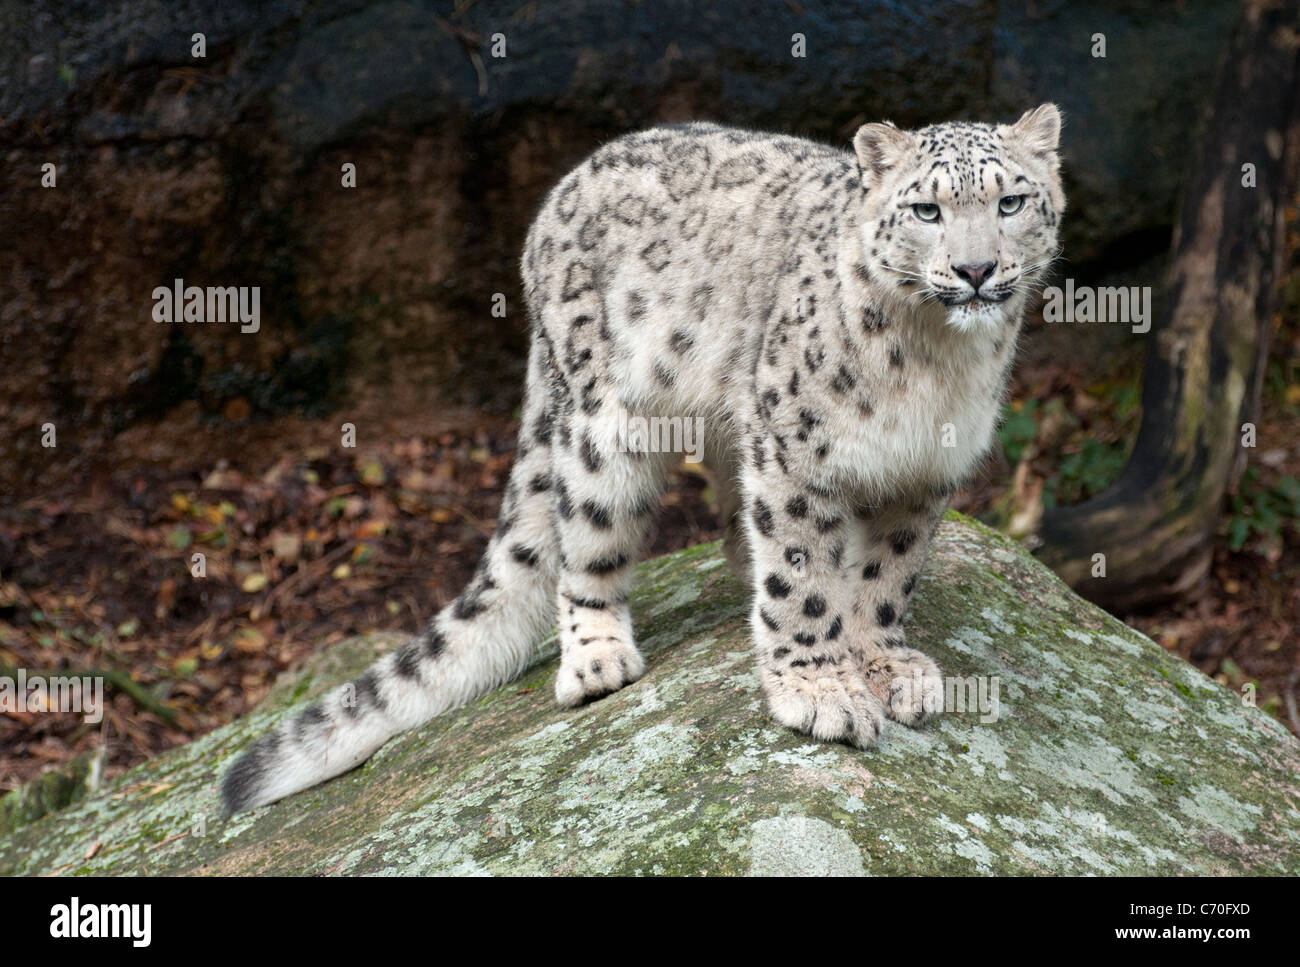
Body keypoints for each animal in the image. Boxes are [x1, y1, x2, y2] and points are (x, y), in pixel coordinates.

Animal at [223, 103, 1066, 816]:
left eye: (1011, 203)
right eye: (927, 211)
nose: (977, 270)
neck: (936, 364)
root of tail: (553, 201)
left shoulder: (923, 476)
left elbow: (886, 578)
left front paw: (887, 665)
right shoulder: (794, 449)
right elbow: (801, 576)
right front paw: (820, 688)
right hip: (609, 429)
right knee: (584, 545)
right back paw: (598, 657)